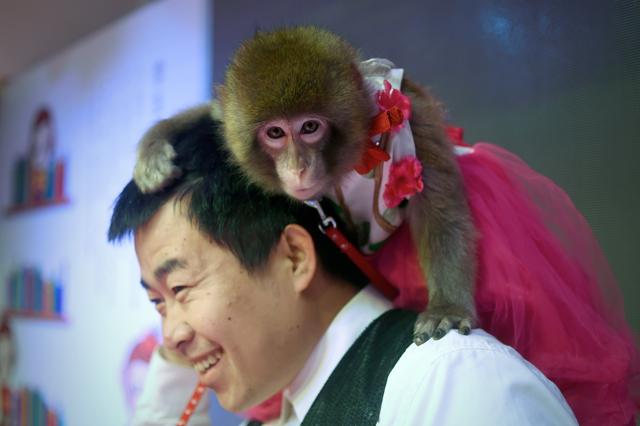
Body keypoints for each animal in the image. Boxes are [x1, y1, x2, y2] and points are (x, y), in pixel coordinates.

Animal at [133, 26, 477, 344]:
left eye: (310, 127)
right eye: (275, 133)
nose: (298, 169)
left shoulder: (412, 116)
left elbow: (439, 214)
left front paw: (448, 306)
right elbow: (217, 113)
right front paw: (154, 147)